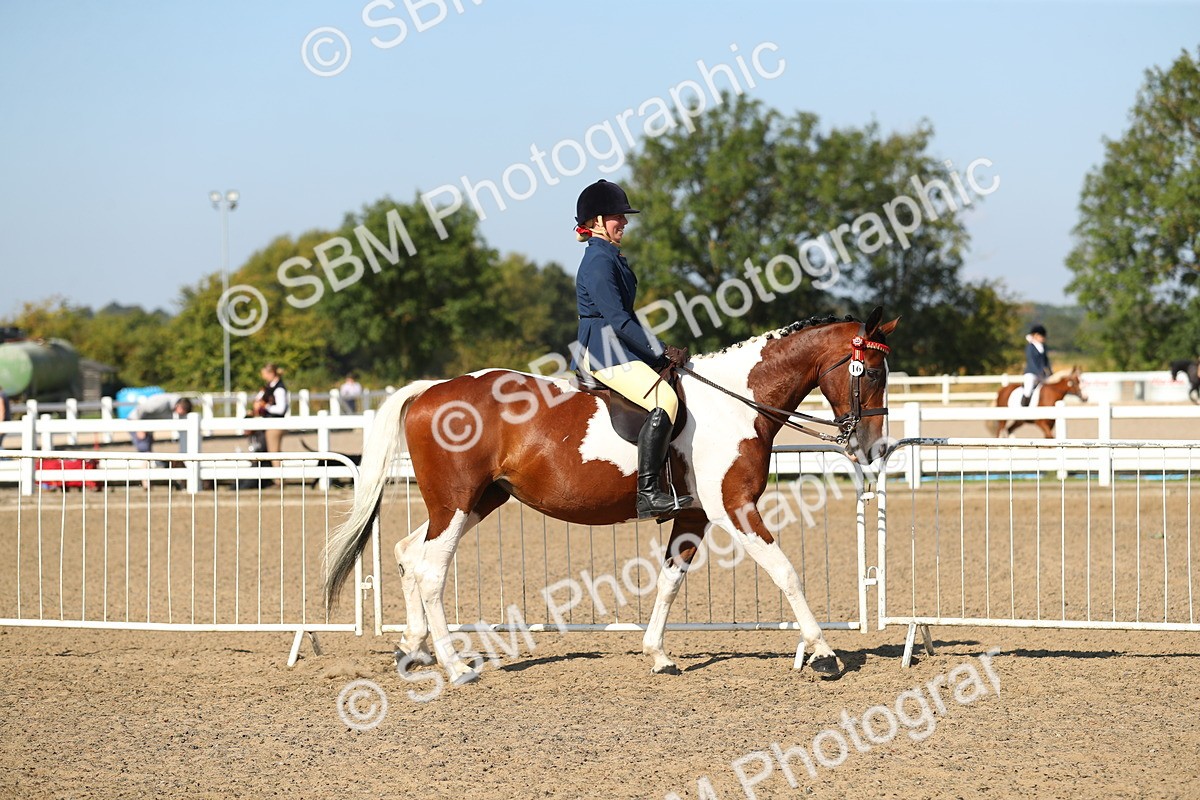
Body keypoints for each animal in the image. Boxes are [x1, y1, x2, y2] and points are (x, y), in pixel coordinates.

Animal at [324, 307, 899, 683]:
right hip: (458, 501)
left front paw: (658, 655)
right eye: (871, 372)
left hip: (475, 502)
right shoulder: (734, 508)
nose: (873, 448)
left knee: (407, 552)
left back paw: (411, 649)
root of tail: (430, 390)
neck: (736, 403)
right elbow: (786, 572)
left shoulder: (694, 515)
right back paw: (454, 665)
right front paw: (824, 654)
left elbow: (669, 581)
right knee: (430, 569)